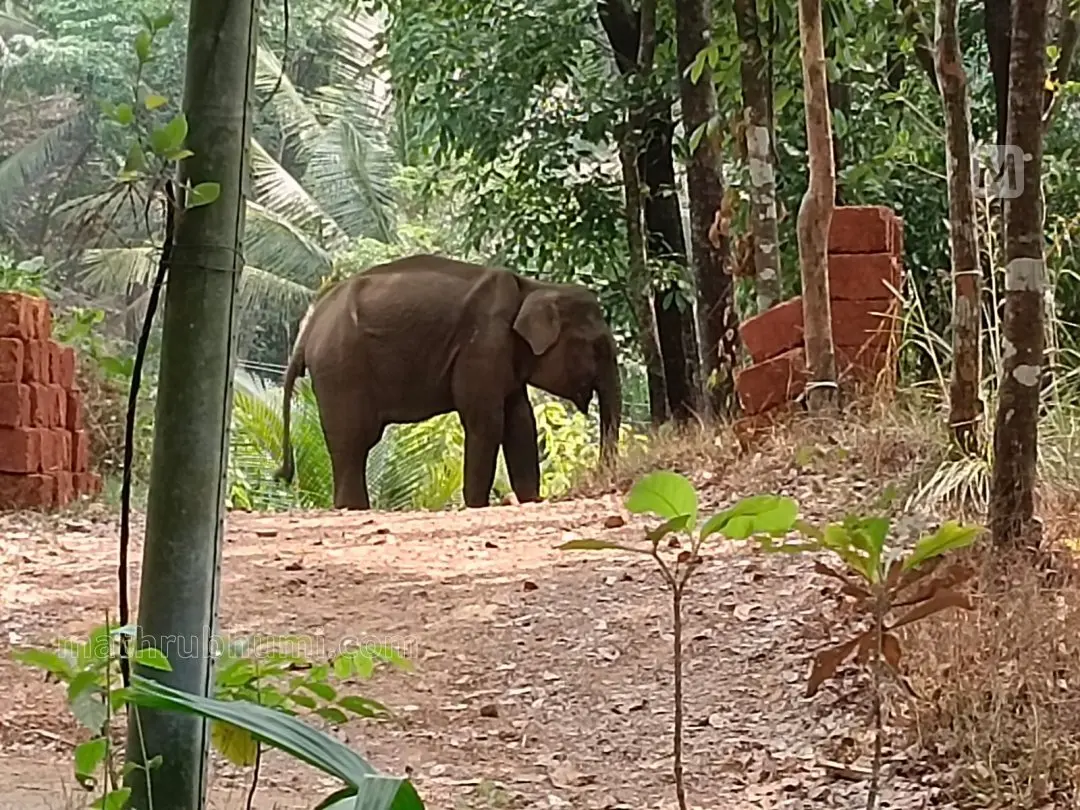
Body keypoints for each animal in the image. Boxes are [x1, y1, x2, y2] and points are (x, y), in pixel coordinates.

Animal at [274, 254, 622, 510]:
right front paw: (477, 505)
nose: (603, 479)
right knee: (353, 440)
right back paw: (354, 508)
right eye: (597, 347)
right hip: (341, 368)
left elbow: (520, 423)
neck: (534, 287)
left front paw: (532, 500)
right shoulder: (483, 345)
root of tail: (310, 326)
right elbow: (487, 422)